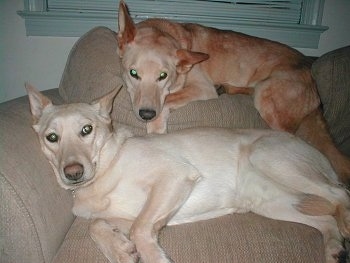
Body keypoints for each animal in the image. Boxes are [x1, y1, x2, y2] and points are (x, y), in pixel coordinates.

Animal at [26, 84, 350, 263]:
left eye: (86, 130)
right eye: (52, 138)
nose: (73, 173)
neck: (107, 165)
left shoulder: (174, 175)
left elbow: (139, 229)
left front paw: (153, 257)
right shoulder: (129, 214)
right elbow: (97, 225)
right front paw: (119, 250)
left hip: (268, 157)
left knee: (339, 192)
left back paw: (345, 224)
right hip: (272, 203)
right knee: (325, 219)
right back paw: (334, 249)